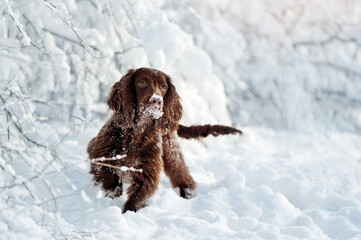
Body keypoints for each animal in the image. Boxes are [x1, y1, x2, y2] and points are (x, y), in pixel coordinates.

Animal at [86, 67, 242, 212]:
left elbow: (138, 198)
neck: (137, 133)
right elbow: (105, 172)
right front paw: (114, 191)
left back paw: (188, 193)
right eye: (141, 82)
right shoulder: (98, 151)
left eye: (163, 86)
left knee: (182, 174)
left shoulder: (147, 173)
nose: (156, 100)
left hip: (171, 152)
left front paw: (128, 212)